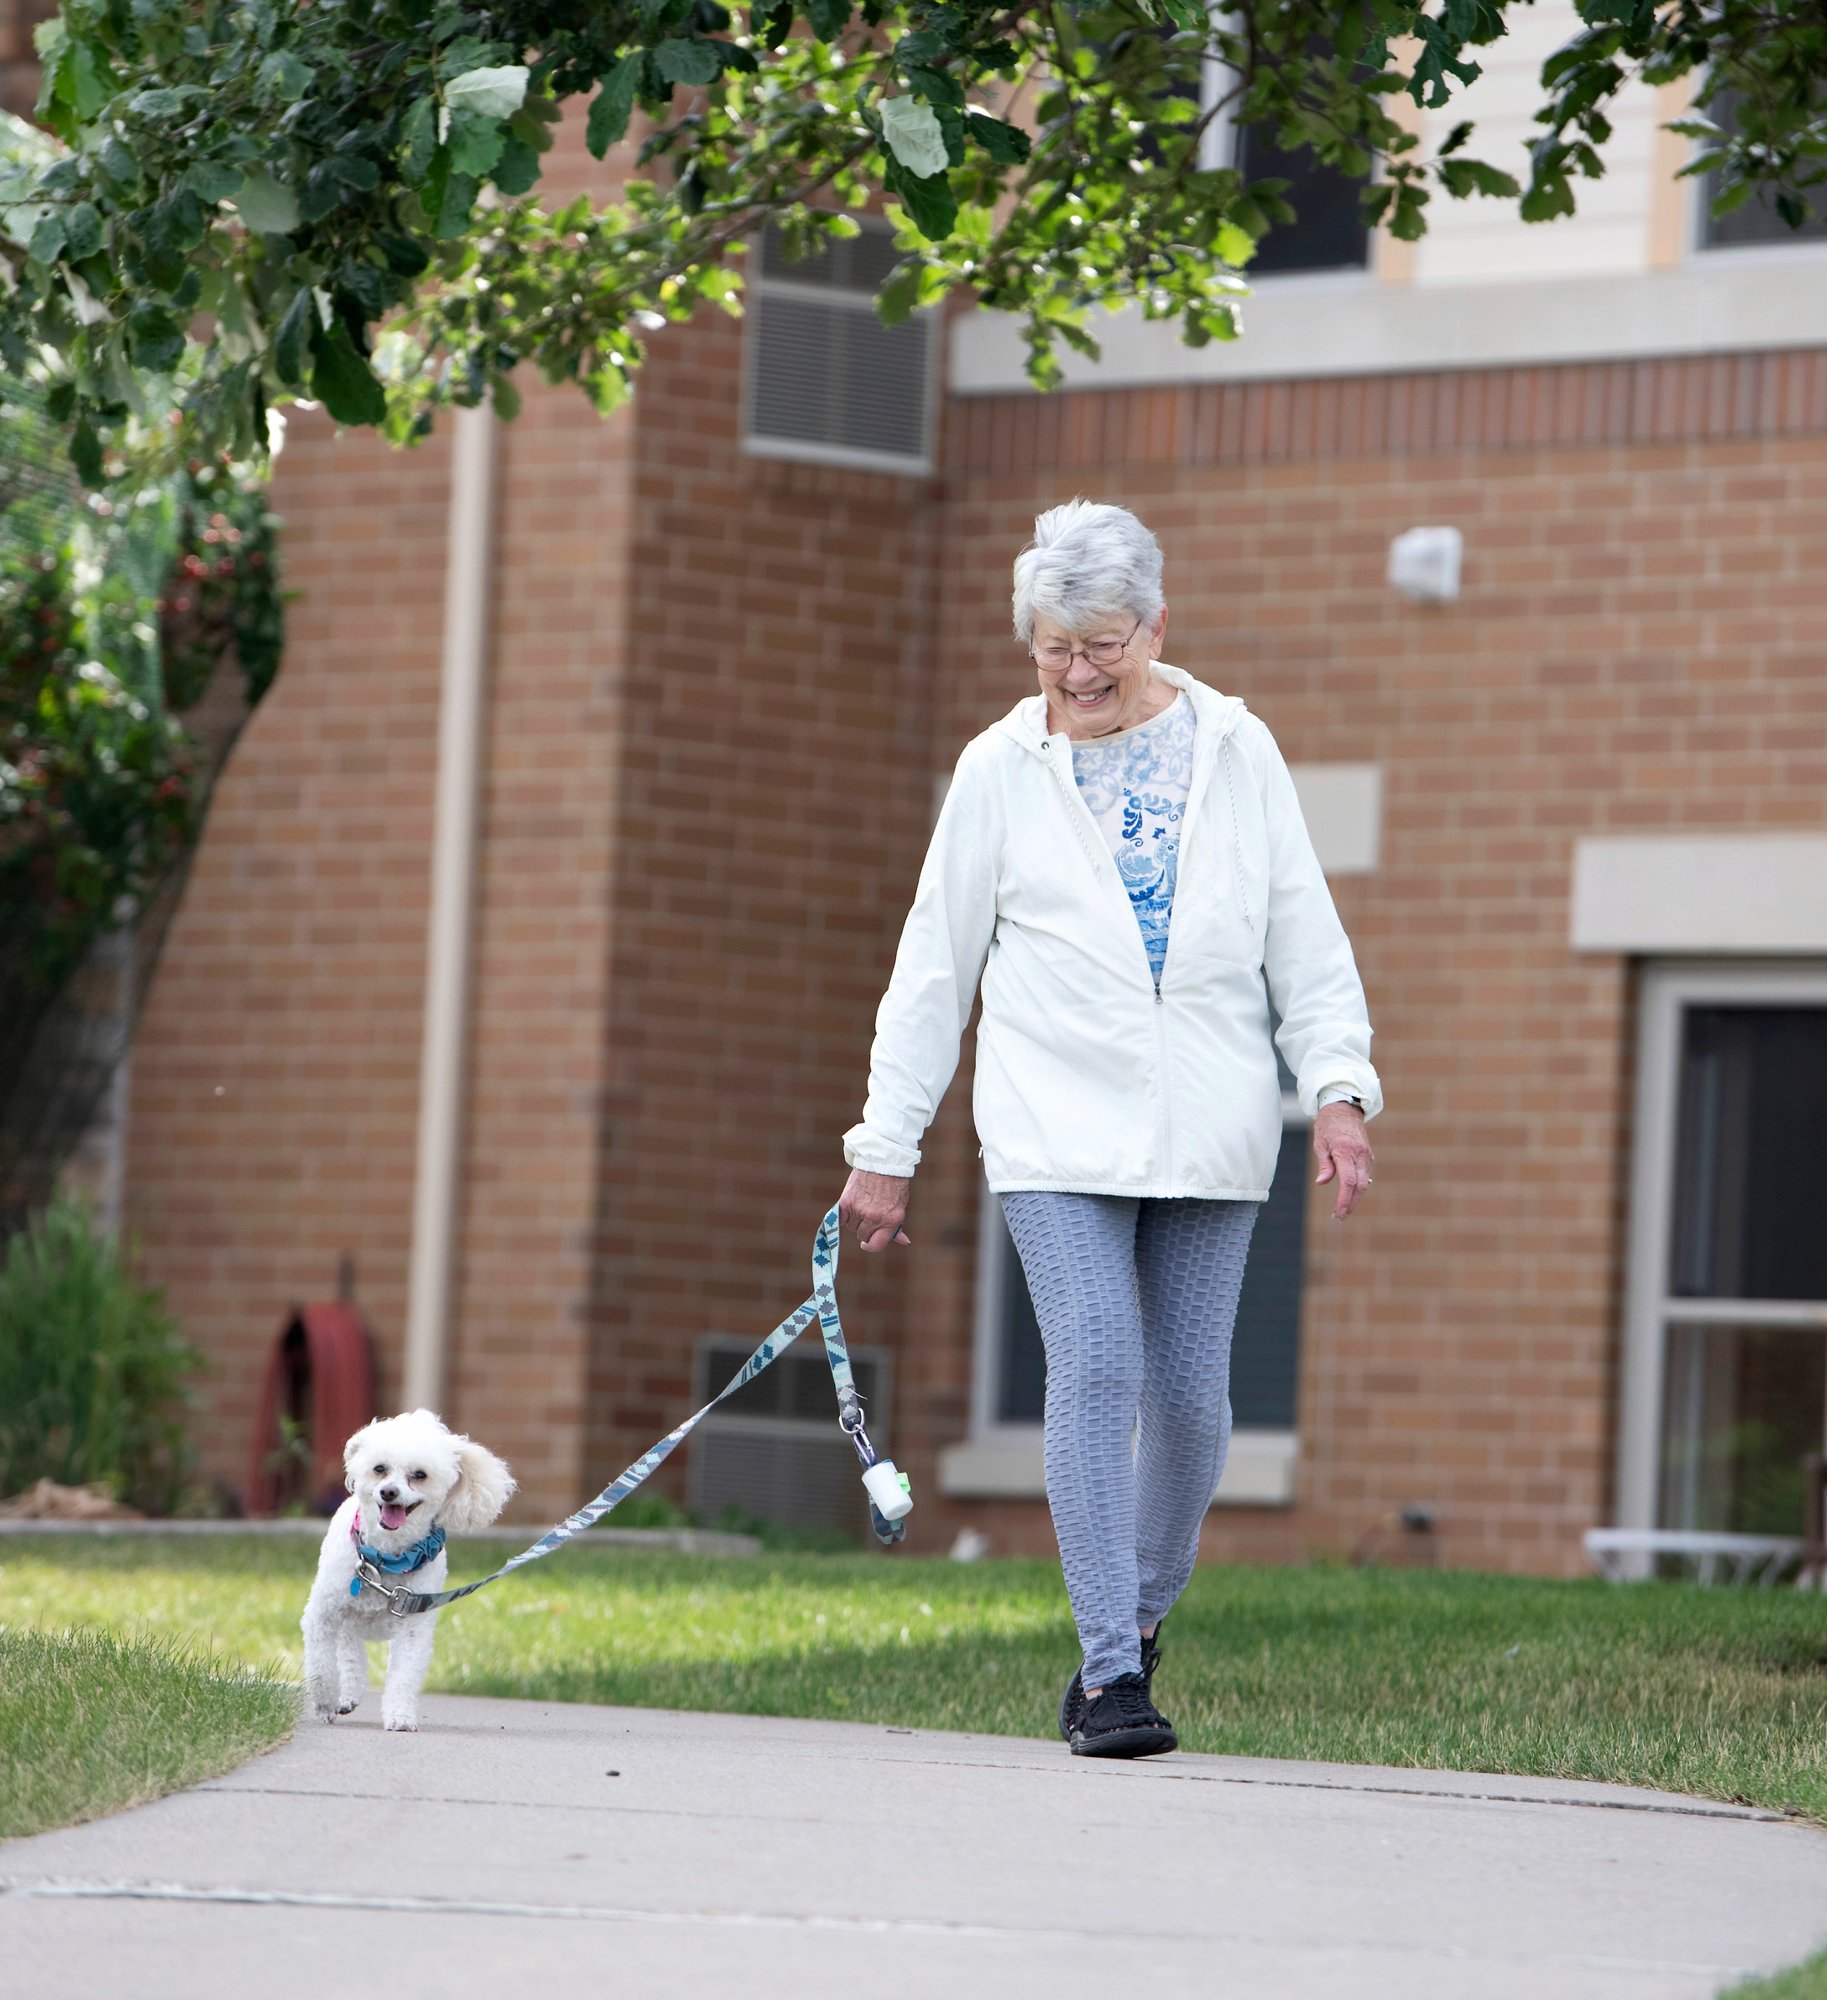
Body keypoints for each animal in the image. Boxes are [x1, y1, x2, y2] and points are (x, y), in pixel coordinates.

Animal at [299, 1416, 511, 1728]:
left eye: (419, 1474)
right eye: (379, 1469)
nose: (389, 1492)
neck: (385, 1559)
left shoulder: (413, 1627)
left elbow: (404, 1675)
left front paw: (400, 1716)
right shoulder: (322, 1615)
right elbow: (322, 1667)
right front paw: (325, 1703)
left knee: (350, 1649)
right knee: (347, 1647)